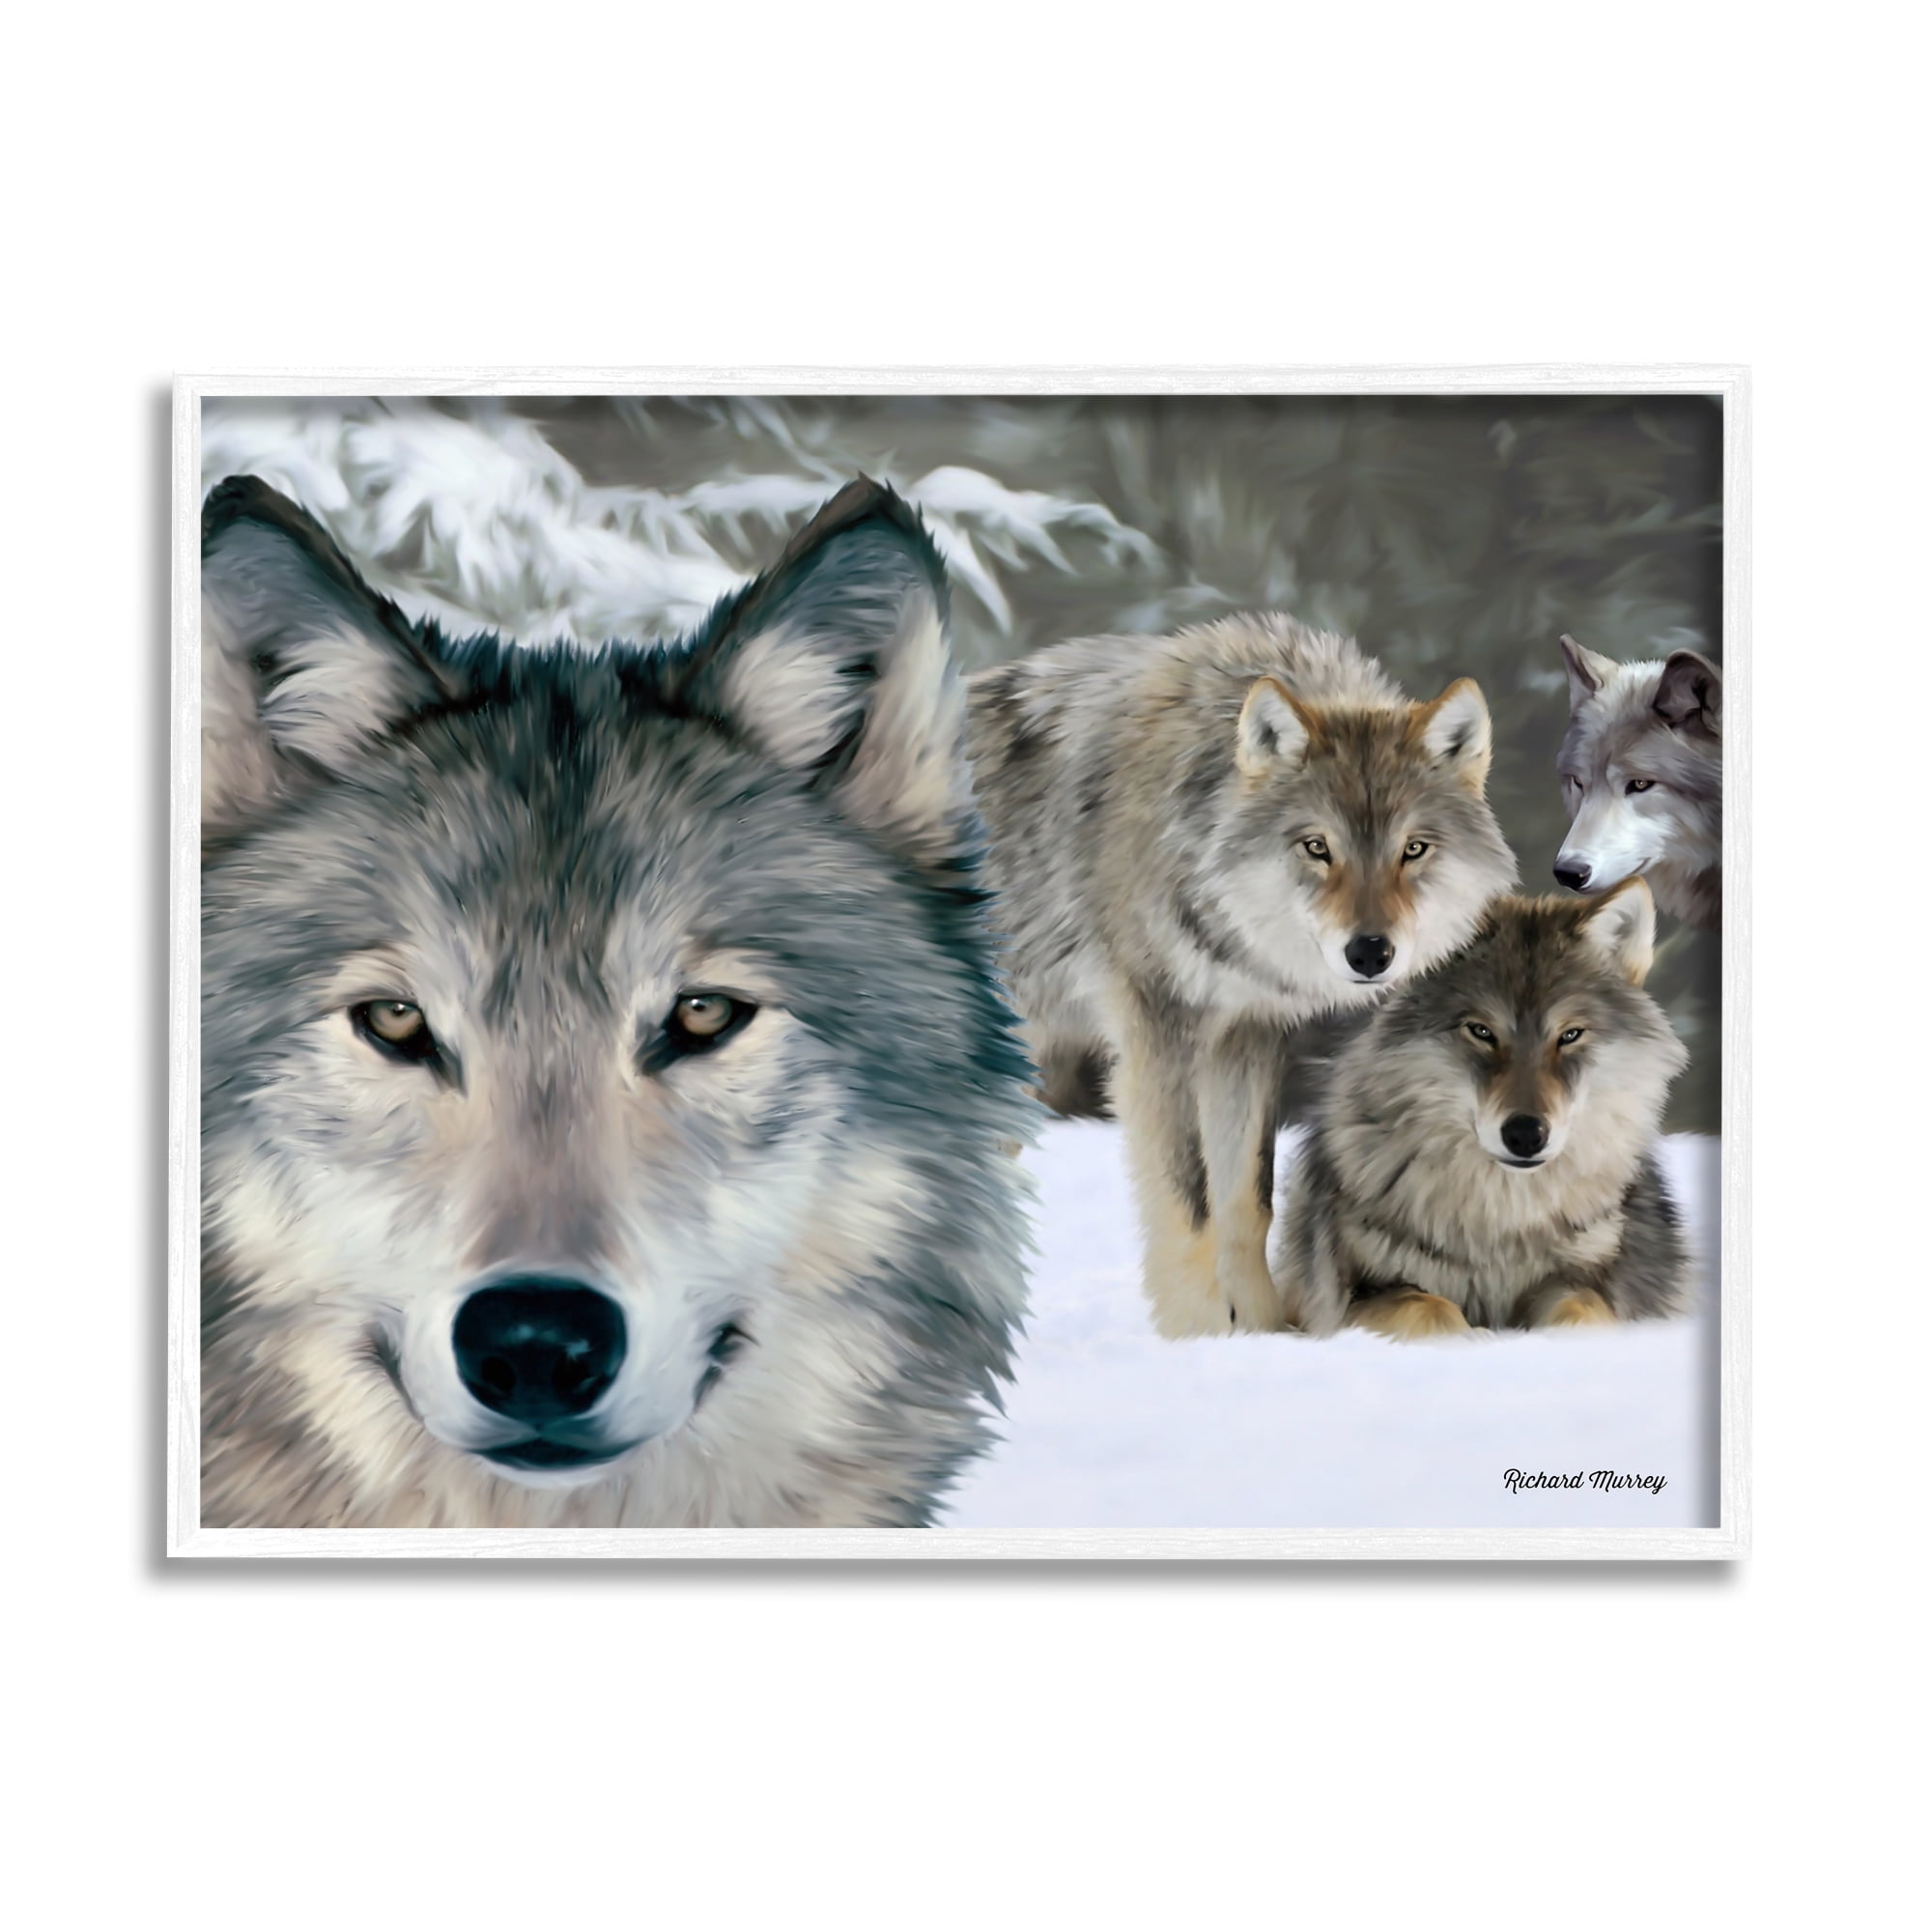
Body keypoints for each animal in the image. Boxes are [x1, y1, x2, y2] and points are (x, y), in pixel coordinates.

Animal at [967, 615, 1517, 1337]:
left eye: (1413, 850)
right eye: (1317, 848)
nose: (1370, 953)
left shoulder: (1246, 1034)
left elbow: (1247, 1203)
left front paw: (1260, 1332)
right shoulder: (1157, 1029)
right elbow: (1189, 1206)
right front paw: (1198, 1337)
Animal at [1275, 881, 1691, 1339]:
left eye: (1570, 1035)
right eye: (1481, 1031)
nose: (1526, 1134)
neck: (1503, 1224)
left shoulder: (1585, 1279)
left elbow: (1583, 1311)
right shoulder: (1356, 1296)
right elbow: (1429, 1307)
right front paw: (1471, 1338)